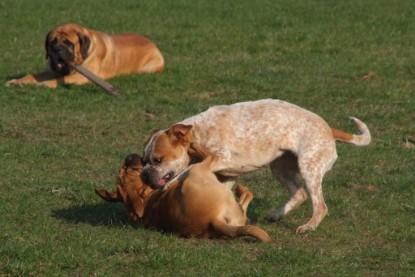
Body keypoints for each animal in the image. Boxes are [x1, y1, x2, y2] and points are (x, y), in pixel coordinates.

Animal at [5, 23, 164, 88]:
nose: (57, 49)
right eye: (52, 42)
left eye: (68, 43)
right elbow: (32, 75)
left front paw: (46, 84)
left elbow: (62, 79)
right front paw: (16, 81)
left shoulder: (82, 77)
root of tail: (152, 43)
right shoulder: (50, 70)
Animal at [95, 151, 272, 242]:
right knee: (210, 158)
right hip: (197, 170)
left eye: (125, 169)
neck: (148, 199)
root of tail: (212, 221)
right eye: (136, 170)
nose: (128, 157)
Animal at [141, 99, 372, 233]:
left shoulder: (223, 158)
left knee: (320, 205)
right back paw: (276, 215)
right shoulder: (227, 175)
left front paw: (169, 184)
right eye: (143, 161)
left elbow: (187, 170)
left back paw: (308, 227)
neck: (198, 131)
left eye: (157, 160)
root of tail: (329, 129)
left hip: (310, 168)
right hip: (280, 168)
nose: (144, 175)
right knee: (299, 194)